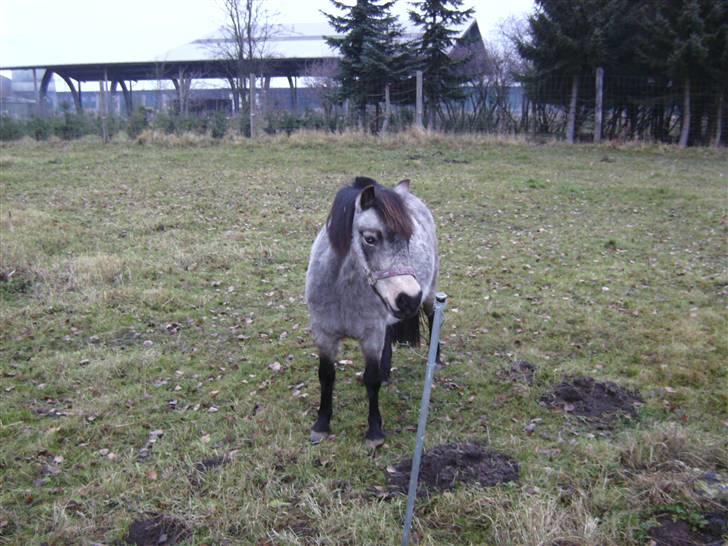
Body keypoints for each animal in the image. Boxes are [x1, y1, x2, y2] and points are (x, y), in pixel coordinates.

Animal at [305, 176, 439, 448]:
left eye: (409, 239)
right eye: (370, 238)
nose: (409, 298)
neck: (342, 290)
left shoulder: (370, 337)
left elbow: (371, 380)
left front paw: (374, 432)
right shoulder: (324, 334)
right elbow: (326, 376)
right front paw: (321, 425)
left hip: (429, 294)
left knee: (432, 316)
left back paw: (436, 358)